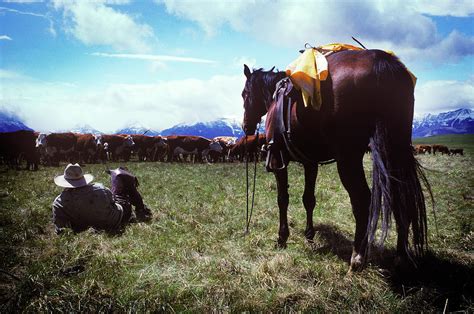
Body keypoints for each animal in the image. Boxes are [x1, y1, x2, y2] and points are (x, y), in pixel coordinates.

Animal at [243, 48, 432, 270]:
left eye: (244, 94)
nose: (246, 126)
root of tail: (382, 63)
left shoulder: (278, 160)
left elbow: (283, 199)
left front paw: (282, 238)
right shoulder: (310, 162)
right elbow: (309, 199)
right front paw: (309, 235)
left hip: (349, 158)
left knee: (362, 200)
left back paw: (358, 255)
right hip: (395, 150)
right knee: (401, 196)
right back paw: (401, 254)